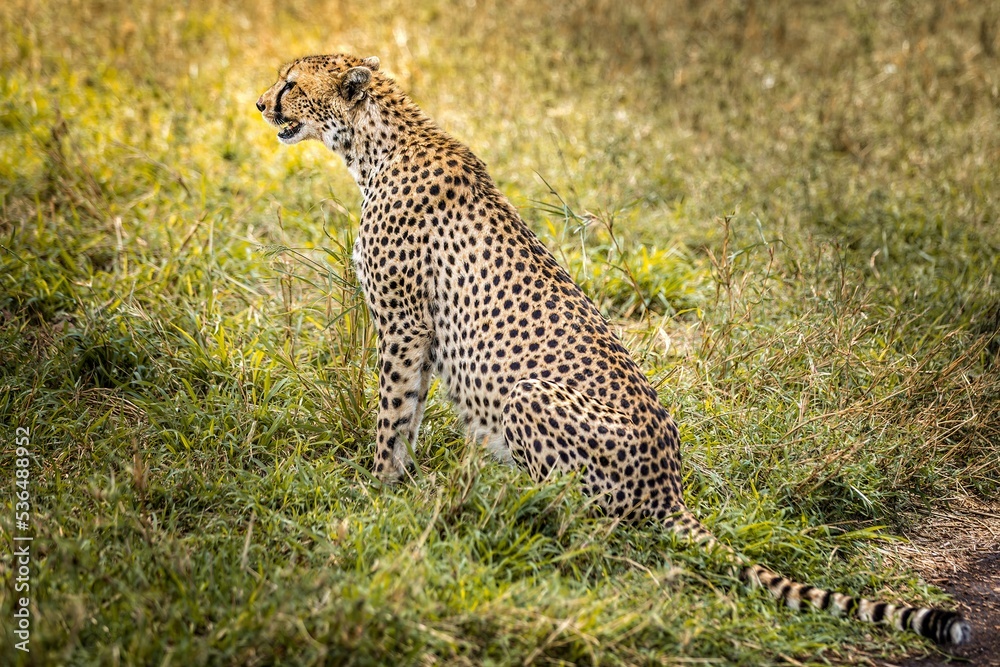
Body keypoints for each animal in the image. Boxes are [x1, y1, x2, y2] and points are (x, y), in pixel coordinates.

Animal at [257, 54, 971, 645]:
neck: (377, 143)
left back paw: (496, 504)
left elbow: (391, 415)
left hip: (529, 398)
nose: (261, 104)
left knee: (586, 523)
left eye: (291, 83)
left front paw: (375, 491)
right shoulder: (425, 334)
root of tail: (670, 486)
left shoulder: (405, 324)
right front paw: (398, 490)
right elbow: (408, 415)